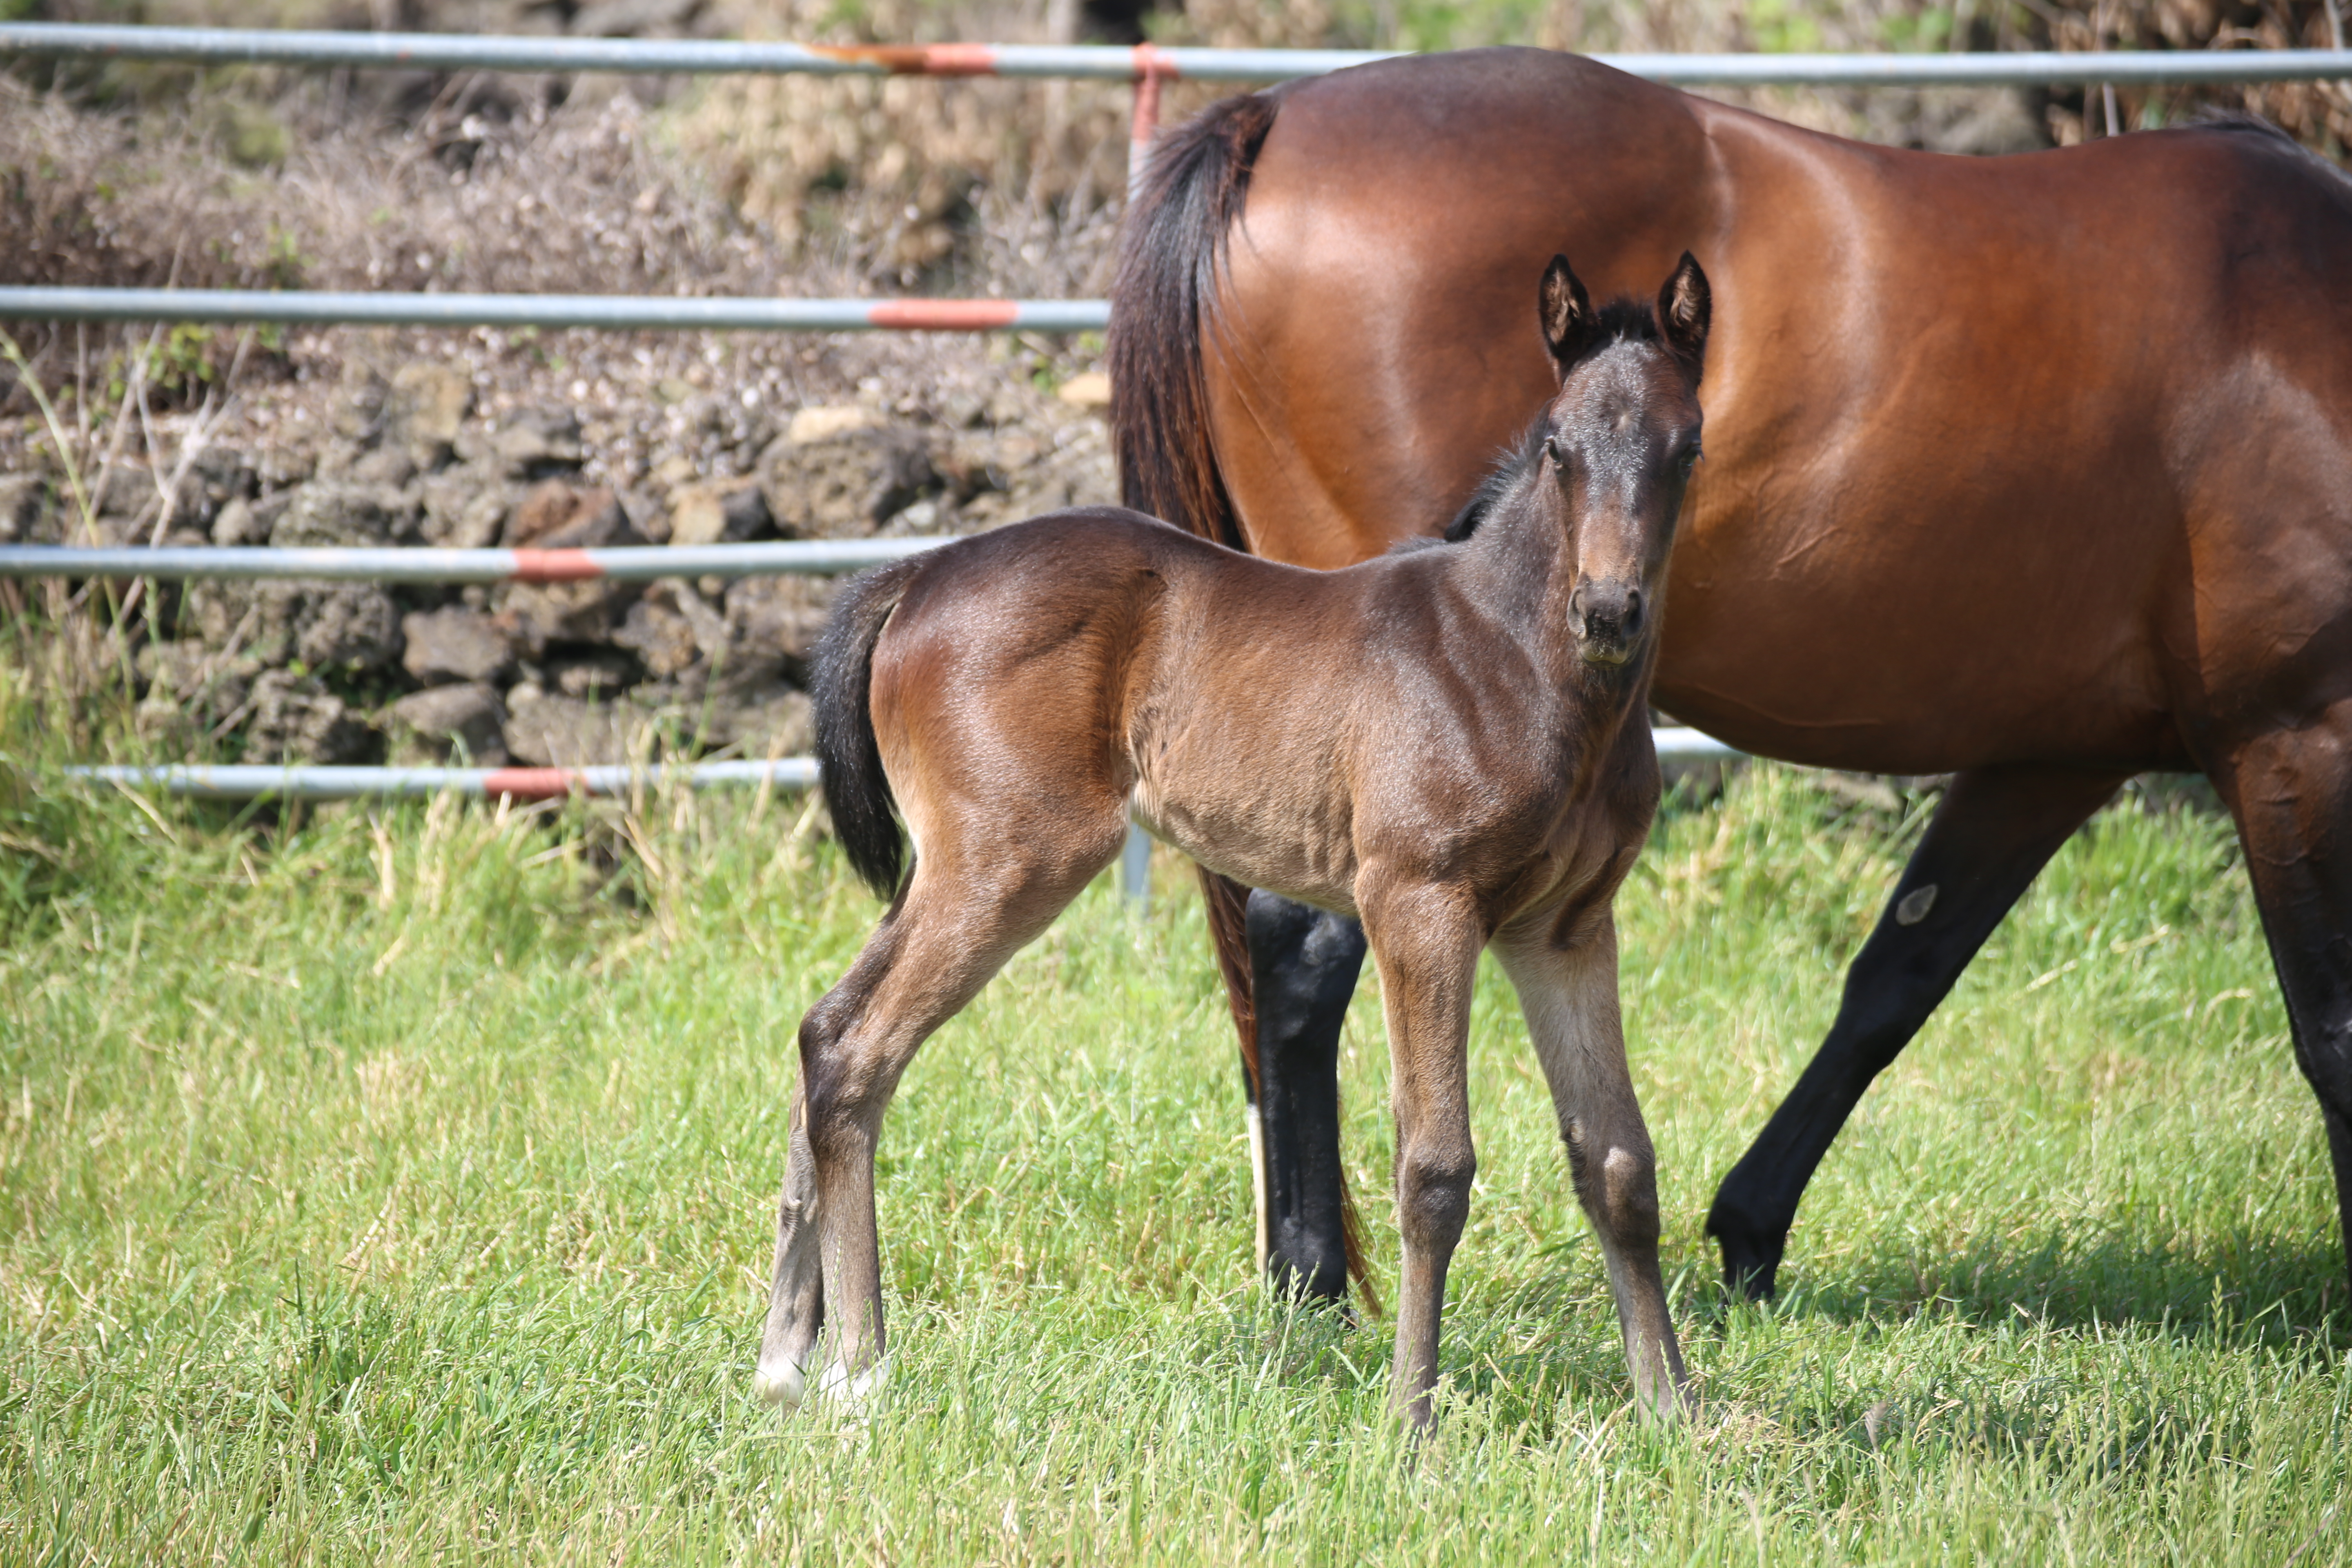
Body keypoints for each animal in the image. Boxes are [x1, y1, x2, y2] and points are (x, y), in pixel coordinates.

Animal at [766, 252, 1712, 1429]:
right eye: (1558, 448)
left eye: (1688, 448)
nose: (1609, 612)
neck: (1508, 657)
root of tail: (918, 573)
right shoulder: (1421, 903)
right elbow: (1434, 1167)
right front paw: (1410, 1421)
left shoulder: (1566, 928)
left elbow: (1619, 1160)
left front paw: (1676, 1415)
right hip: (1010, 863)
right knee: (859, 1055)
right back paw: (860, 1369)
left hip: (953, 868)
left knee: (822, 1031)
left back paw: (785, 1358)